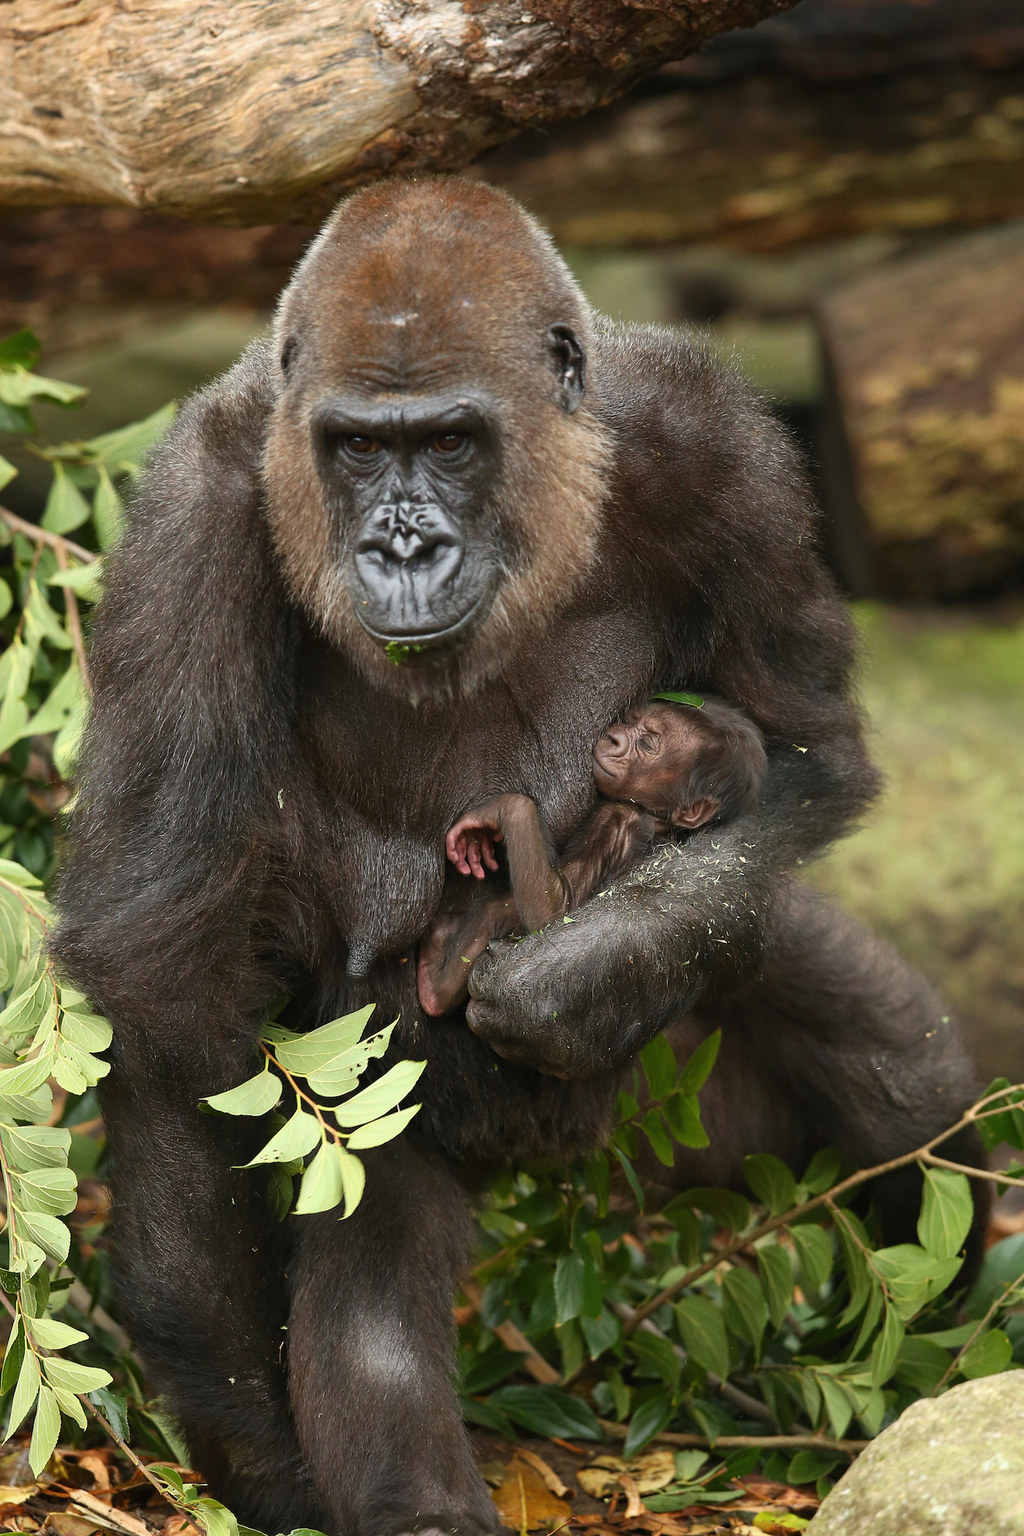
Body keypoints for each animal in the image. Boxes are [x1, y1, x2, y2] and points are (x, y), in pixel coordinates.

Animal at [417, 697, 767, 1019]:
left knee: (494, 911)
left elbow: (556, 908)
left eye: (648, 743)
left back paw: (436, 988)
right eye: (630, 720)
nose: (615, 738)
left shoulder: (617, 821)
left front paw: (504, 809)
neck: (656, 817)